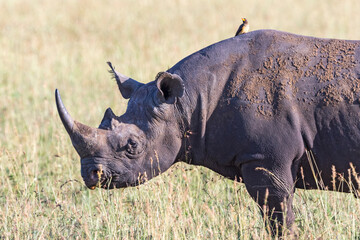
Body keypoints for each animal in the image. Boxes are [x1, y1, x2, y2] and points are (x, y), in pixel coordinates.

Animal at [54, 30, 360, 234]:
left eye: (132, 145)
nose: (91, 175)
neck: (186, 102)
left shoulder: (265, 158)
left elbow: (278, 217)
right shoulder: (262, 157)